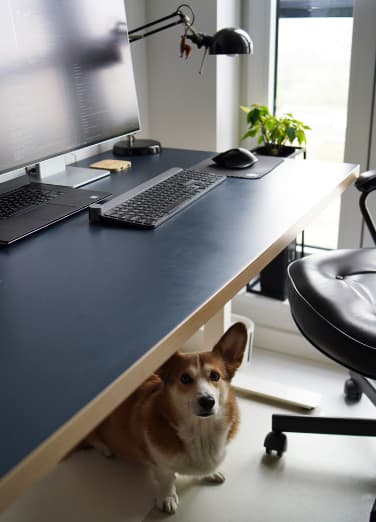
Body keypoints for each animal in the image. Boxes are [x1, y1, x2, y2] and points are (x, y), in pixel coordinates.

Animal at [86, 320, 248, 512]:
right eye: (185, 379)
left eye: (215, 376)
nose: (208, 401)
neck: (200, 431)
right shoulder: (160, 465)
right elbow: (167, 480)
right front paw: (167, 498)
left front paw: (211, 473)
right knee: (91, 438)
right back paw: (105, 448)